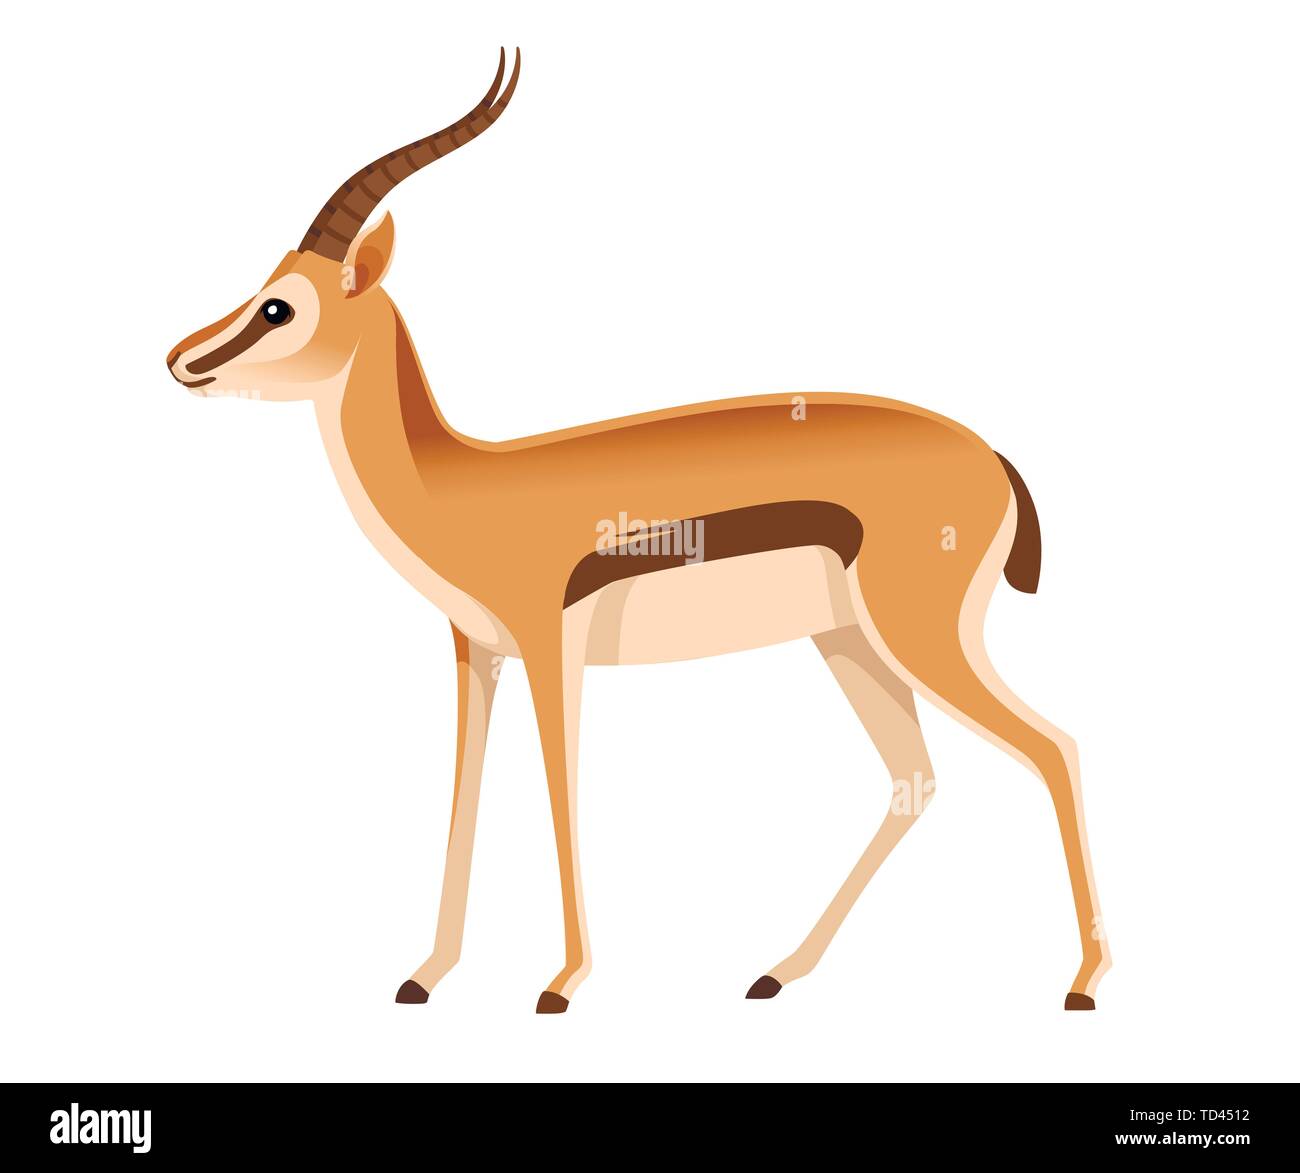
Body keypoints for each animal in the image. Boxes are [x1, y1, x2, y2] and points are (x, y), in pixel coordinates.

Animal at [166, 49, 1109, 1013]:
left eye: (279, 307)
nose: (179, 361)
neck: (456, 481)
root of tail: (992, 455)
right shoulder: (477, 653)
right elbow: (465, 791)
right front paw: (425, 976)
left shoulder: (550, 648)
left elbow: (559, 785)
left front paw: (560, 983)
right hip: (848, 641)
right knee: (913, 778)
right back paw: (774, 971)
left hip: (920, 637)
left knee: (1056, 746)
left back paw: (1081, 982)